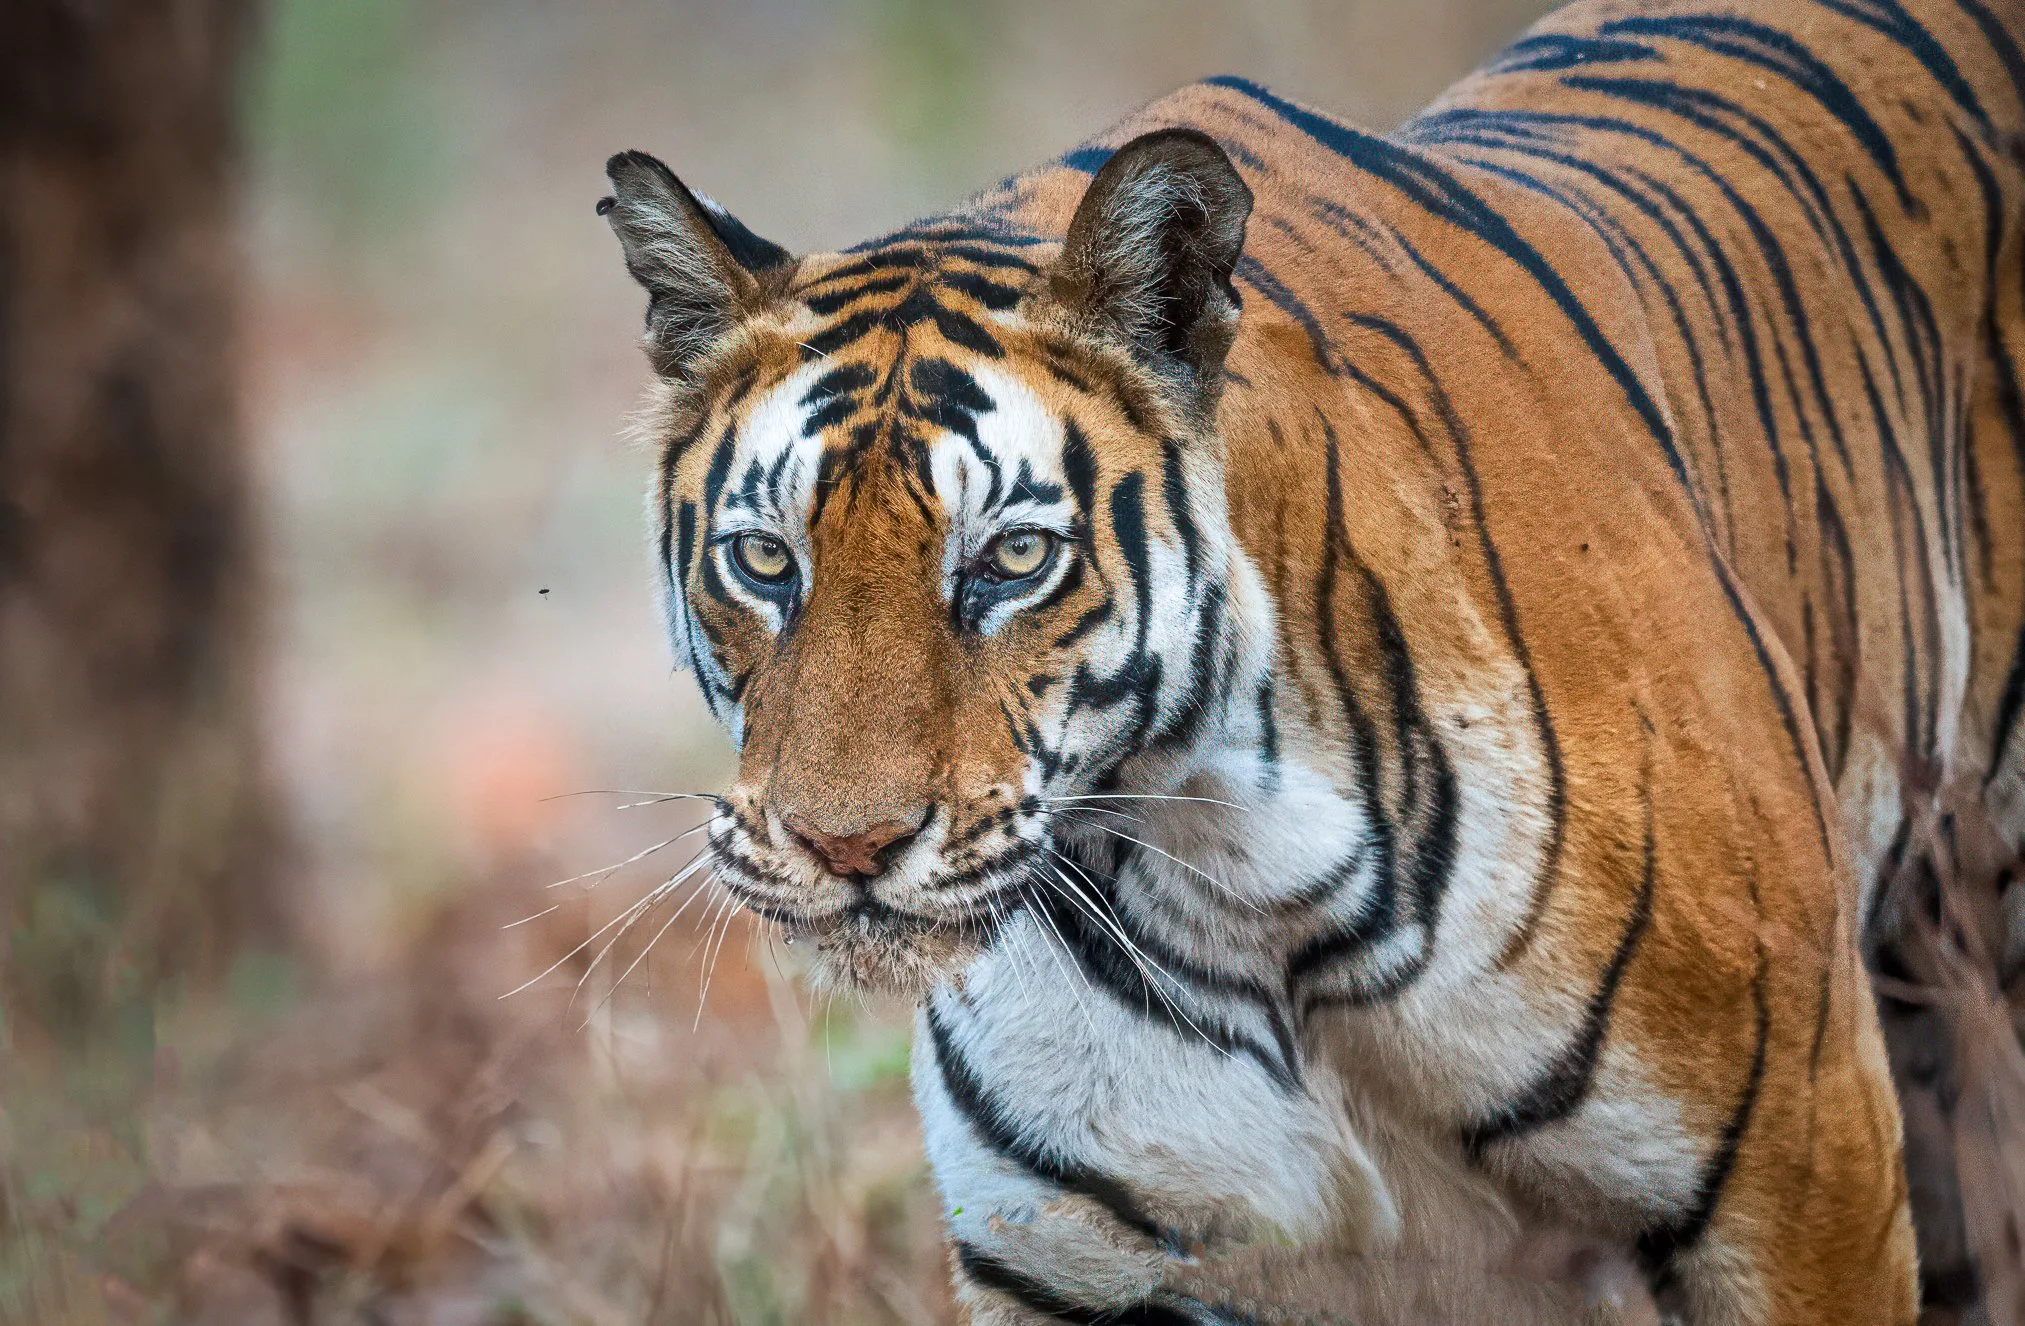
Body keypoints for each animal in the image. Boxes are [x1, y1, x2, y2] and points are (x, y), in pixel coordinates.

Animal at [594, 0, 2025, 1320]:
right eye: (765, 560)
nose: (846, 848)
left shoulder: (1804, 1177)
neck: (1230, 878)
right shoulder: (1072, 1257)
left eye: (1010, 559)